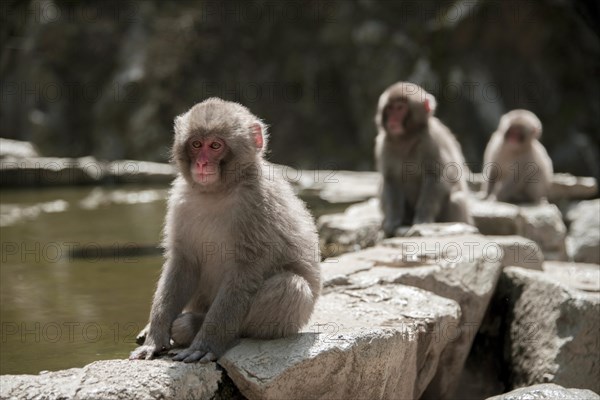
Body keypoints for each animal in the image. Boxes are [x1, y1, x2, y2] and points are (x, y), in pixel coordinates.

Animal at [129, 97, 322, 362]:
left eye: (215, 145)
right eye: (196, 144)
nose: (201, 163)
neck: (217, 191)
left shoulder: (257, 204)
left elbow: (244, 273)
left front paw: (205, 345)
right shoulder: (180, 200)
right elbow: (183, 263)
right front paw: (155, 338)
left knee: (289, 287)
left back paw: (196, 327)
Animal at [376, 82, 474, 238]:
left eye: (400, 108)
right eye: (390, 109)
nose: (393, 120)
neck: (406, 138)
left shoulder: (431, 141)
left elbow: (435, 176)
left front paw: (422, 219)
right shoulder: (384, 145)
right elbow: (391, 179)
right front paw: (392, 221)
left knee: (456, 199)